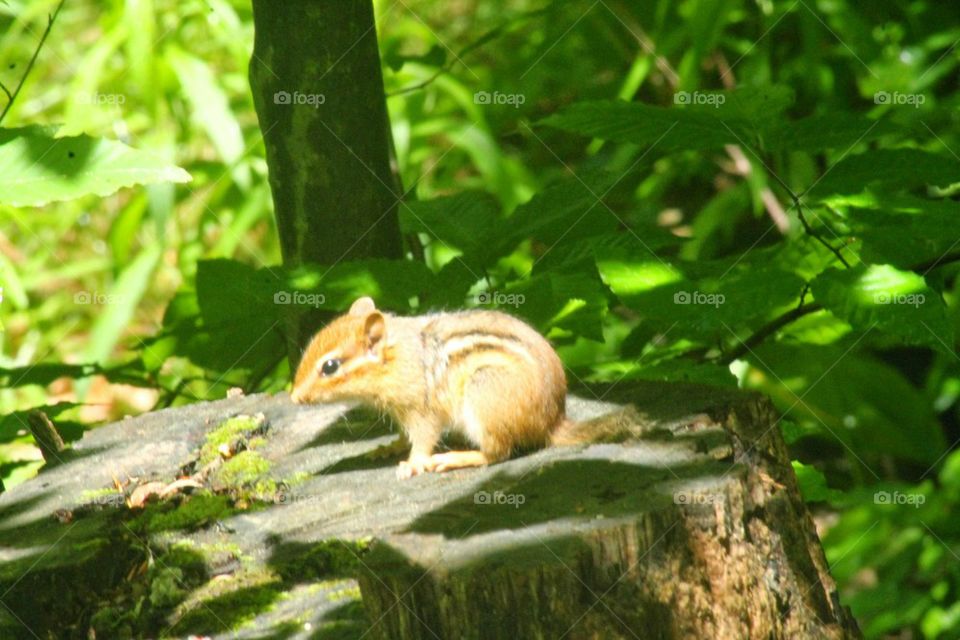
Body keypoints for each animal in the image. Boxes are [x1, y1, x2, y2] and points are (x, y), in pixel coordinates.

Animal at [290, 296, 600, 479]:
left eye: (330, 366)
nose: (294, 397)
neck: (397, 355)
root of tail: (553, 421)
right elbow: (404, 435)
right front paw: (390, 447)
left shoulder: (421, 409)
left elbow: (424, 436)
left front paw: (413, 463)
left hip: (483, 391)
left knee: (497, 453)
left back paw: (456, 458)